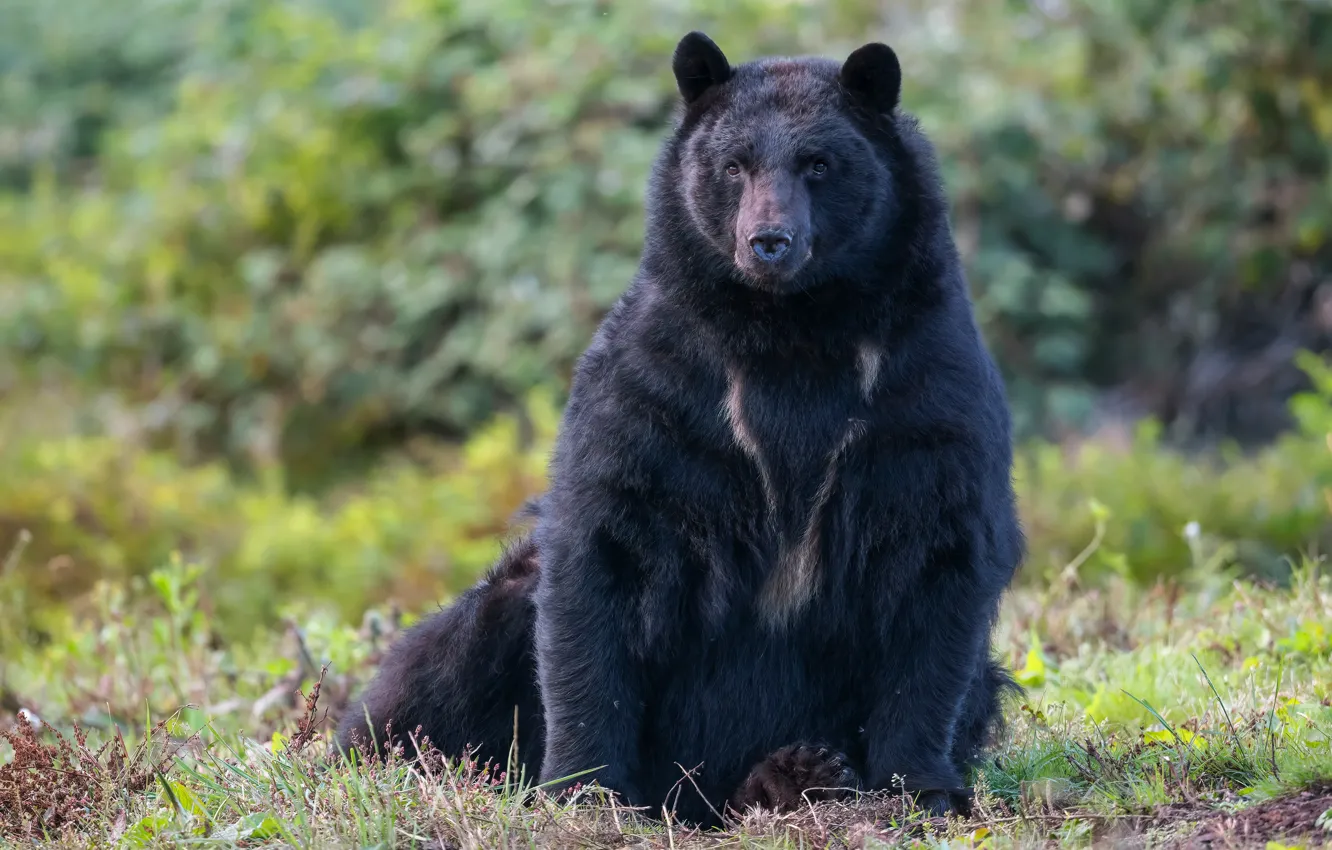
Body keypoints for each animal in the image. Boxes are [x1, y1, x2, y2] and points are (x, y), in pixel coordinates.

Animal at [529, 31, 1024, 828]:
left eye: (819, 163)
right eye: (734, 164)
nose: (769, 242)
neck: (791, 330)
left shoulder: (920, 389)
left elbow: (937, 556)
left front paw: (922, 785)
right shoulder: (669, 389)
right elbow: (605, 544)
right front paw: (582, 788)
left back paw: (791, 773)